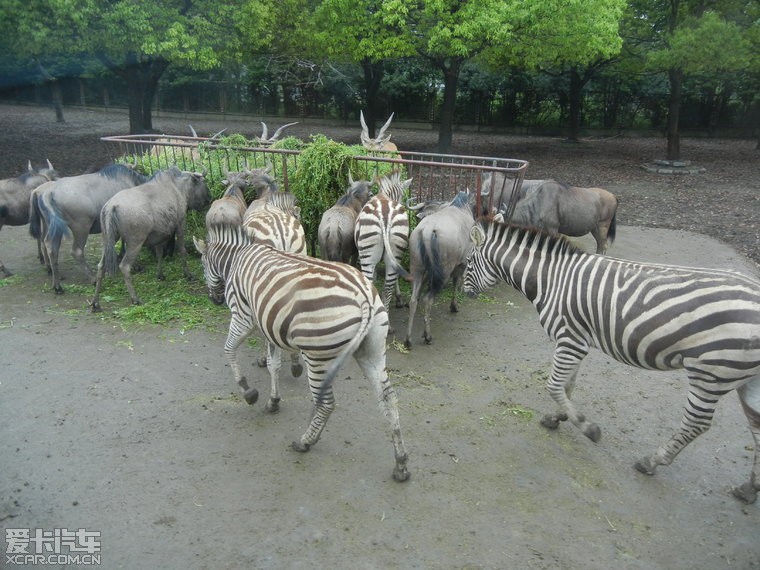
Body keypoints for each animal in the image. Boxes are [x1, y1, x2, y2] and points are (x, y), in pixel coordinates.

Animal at [193, 224, 412, 482]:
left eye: (203, 264)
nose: (214, 299)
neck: (237, 259)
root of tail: (364, 296)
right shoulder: (269, 325)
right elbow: (273, 365)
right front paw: (273, 401)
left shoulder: (243, 316)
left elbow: (229, 350)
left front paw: (248, 392)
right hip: (373, 350)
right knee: (389, 399)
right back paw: (401, 464)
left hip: (317, 356)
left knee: (327, 403)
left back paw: (305, 442)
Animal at [354, 170, 412, 310]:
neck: (385, 195)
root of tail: (385, 218)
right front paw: (399, 299)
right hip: (396, 249)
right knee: (388, 287)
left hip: (367, 257)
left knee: (369, 284)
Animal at [460, 217, 760, 502]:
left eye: (467, 263)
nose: (464, 294)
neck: (550, 279)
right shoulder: (576, 341)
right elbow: (567, 386)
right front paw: (557, 418)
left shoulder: (569, 339)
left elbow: (554, 386)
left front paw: (588, 428)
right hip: (745, 379)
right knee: (757, 430)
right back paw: (748, 489)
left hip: (711, 372)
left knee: (697, 424)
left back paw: (650, 462)